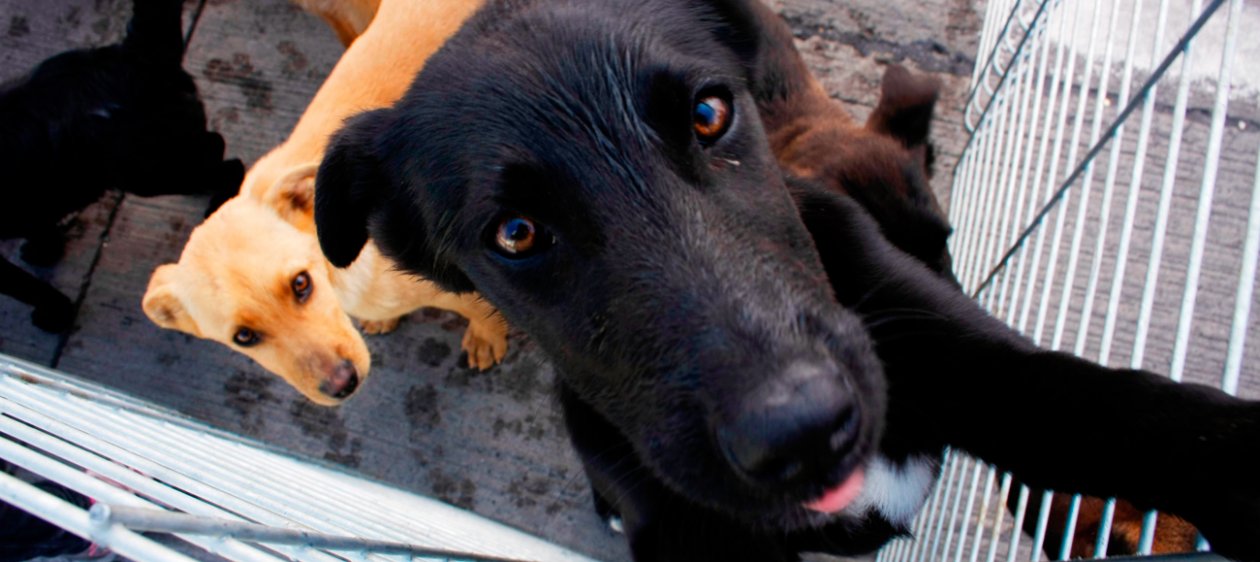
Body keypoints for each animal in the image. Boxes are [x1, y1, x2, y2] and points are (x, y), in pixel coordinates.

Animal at [0, 0, 243, 332]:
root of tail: (134, 53)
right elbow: (39, 228)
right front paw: (45, 251)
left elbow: (28, 287)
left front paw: (56, 314)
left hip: (150, 171)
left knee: (225, 156)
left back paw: (220, 201)